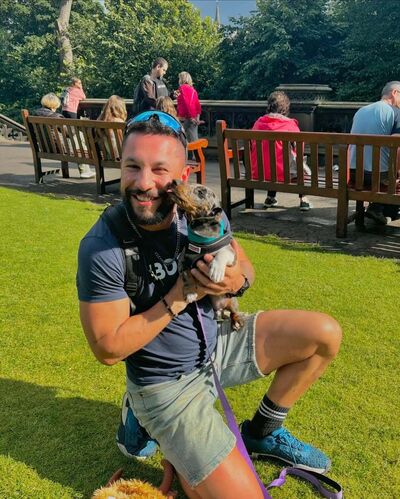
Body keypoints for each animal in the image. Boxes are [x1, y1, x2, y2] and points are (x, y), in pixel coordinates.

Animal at [168, 181, 243, 329]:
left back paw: (236, 320)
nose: (174, 182)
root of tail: (220, 308)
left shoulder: (231, 254)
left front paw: (216, 270)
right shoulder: (183, 261)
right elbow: (187, 276)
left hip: (232, 301)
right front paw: (190, 292)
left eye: (201, 192)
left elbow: (222, 253)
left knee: (233, 311)